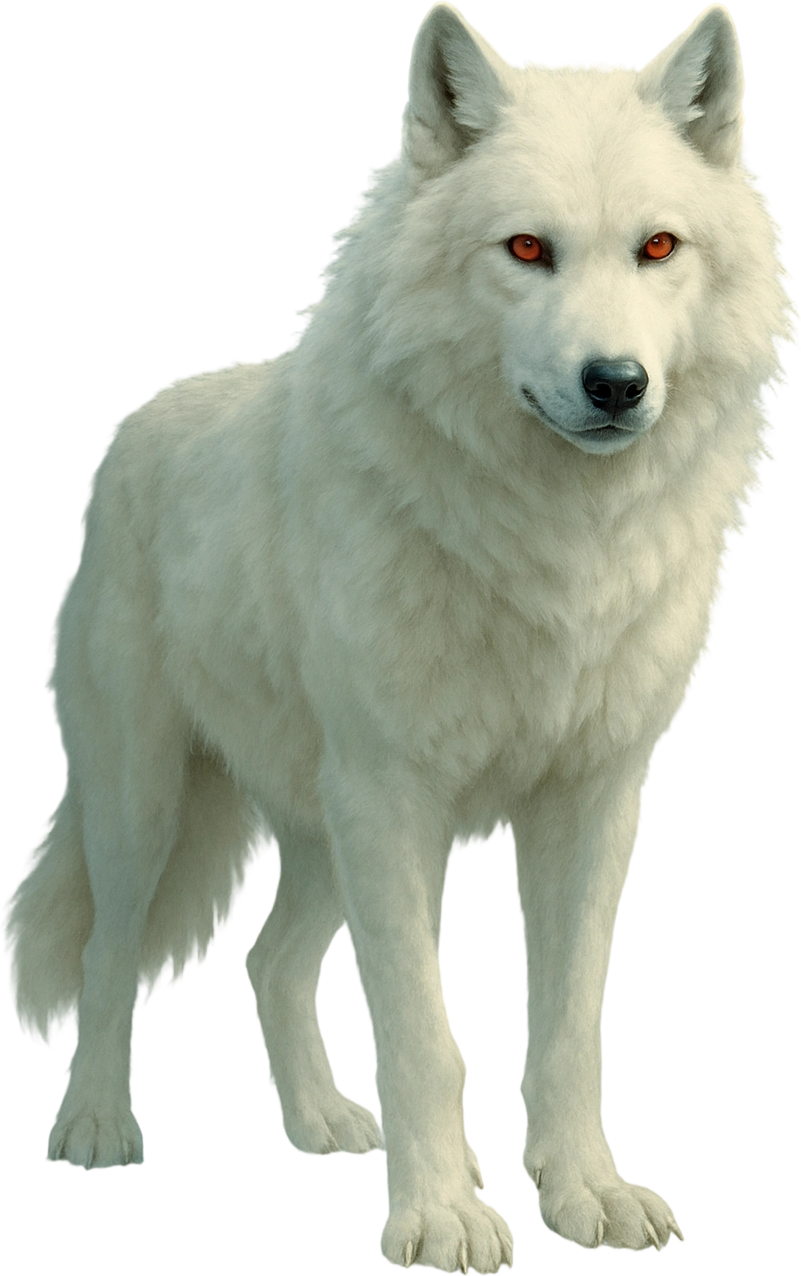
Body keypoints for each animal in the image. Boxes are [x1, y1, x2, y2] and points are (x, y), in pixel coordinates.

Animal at [4, 2, 795, 1270]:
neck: (550, 546)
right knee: (107, 955)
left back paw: (323, 1121)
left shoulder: (593, 799)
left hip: (319, 830)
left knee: (270, 960)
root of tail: (135, 422)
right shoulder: (391, 795)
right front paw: (439, 1217)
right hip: (148, 805)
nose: (616, 384)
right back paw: (95, 1126)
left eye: (659, 248)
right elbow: (425, 1035)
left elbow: (567, 1030)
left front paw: (583, 1192)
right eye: (526, 250)